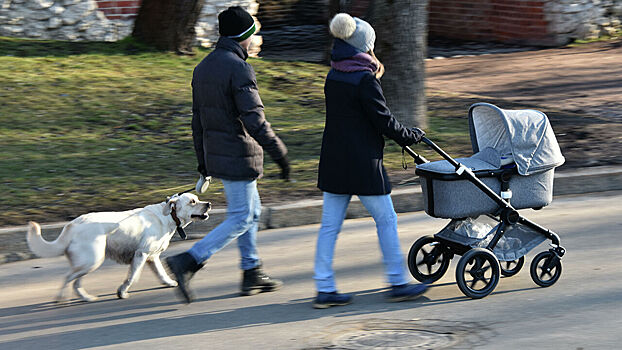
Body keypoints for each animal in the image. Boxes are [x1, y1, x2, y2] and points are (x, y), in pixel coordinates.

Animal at [26, 193, 212, 302]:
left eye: (198, 199)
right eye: (193, 201)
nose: (209, 203)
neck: (168, 216)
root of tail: (72, 225)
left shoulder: (152, 257)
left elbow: (161, 272)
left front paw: (169, 282)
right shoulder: (141, 254)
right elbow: (132, 277)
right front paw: (122, 292)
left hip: (87, 262)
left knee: (75, 282)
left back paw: (86, 298)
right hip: (92, 260)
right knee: (67, 278)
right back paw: (61, 298)